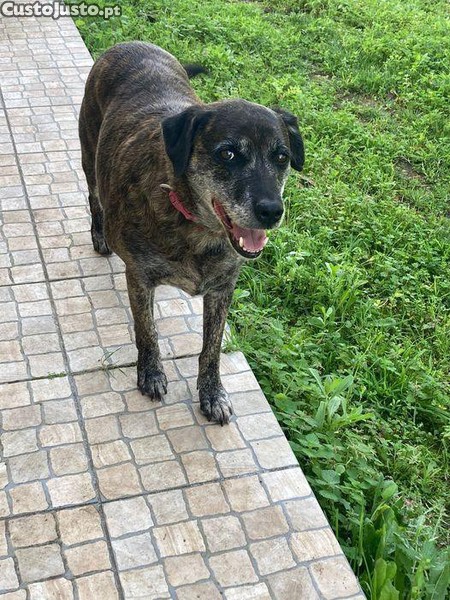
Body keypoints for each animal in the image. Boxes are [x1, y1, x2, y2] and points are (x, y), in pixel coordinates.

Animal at [79, 42, 304, 425]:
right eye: (227, 153)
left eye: (282, 156)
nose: (272, 211)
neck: (198, 230)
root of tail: (129, 44)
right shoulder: (138, 278)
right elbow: (147, 331)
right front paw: (151, 373)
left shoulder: (222, 289)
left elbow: (210, 348)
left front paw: (212, 393)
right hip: (89, 156)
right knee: (93, 196)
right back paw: (99, 235)